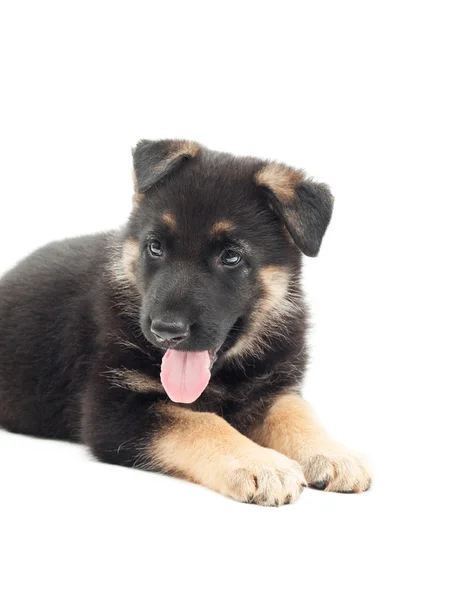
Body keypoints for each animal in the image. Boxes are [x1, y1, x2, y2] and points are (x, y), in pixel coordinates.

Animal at [0, 141, 372, 506]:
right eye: (155, 247)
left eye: (231, 256)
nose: (166, 331)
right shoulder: (114, 410)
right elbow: (199, 422)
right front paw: (261, 463)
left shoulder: (272, 388)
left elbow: (296, 411)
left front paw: (332, 453)